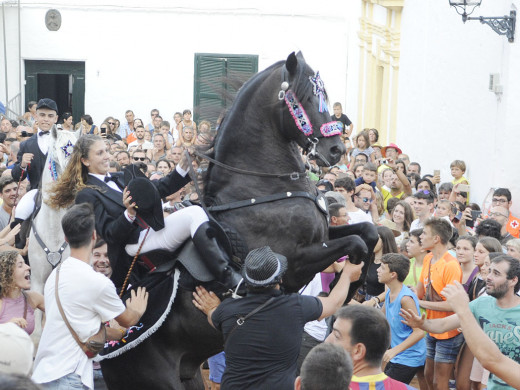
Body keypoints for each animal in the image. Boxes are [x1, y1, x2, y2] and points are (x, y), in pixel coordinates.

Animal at [100, 51, 378, 390]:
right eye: (308, 98)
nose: (336, 148)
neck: (260, 189)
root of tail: (106, 347)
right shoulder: (296, 261)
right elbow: (356, 243)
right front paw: (343, 288)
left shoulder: (324, 236)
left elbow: (368, 232)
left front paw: (350, 288)